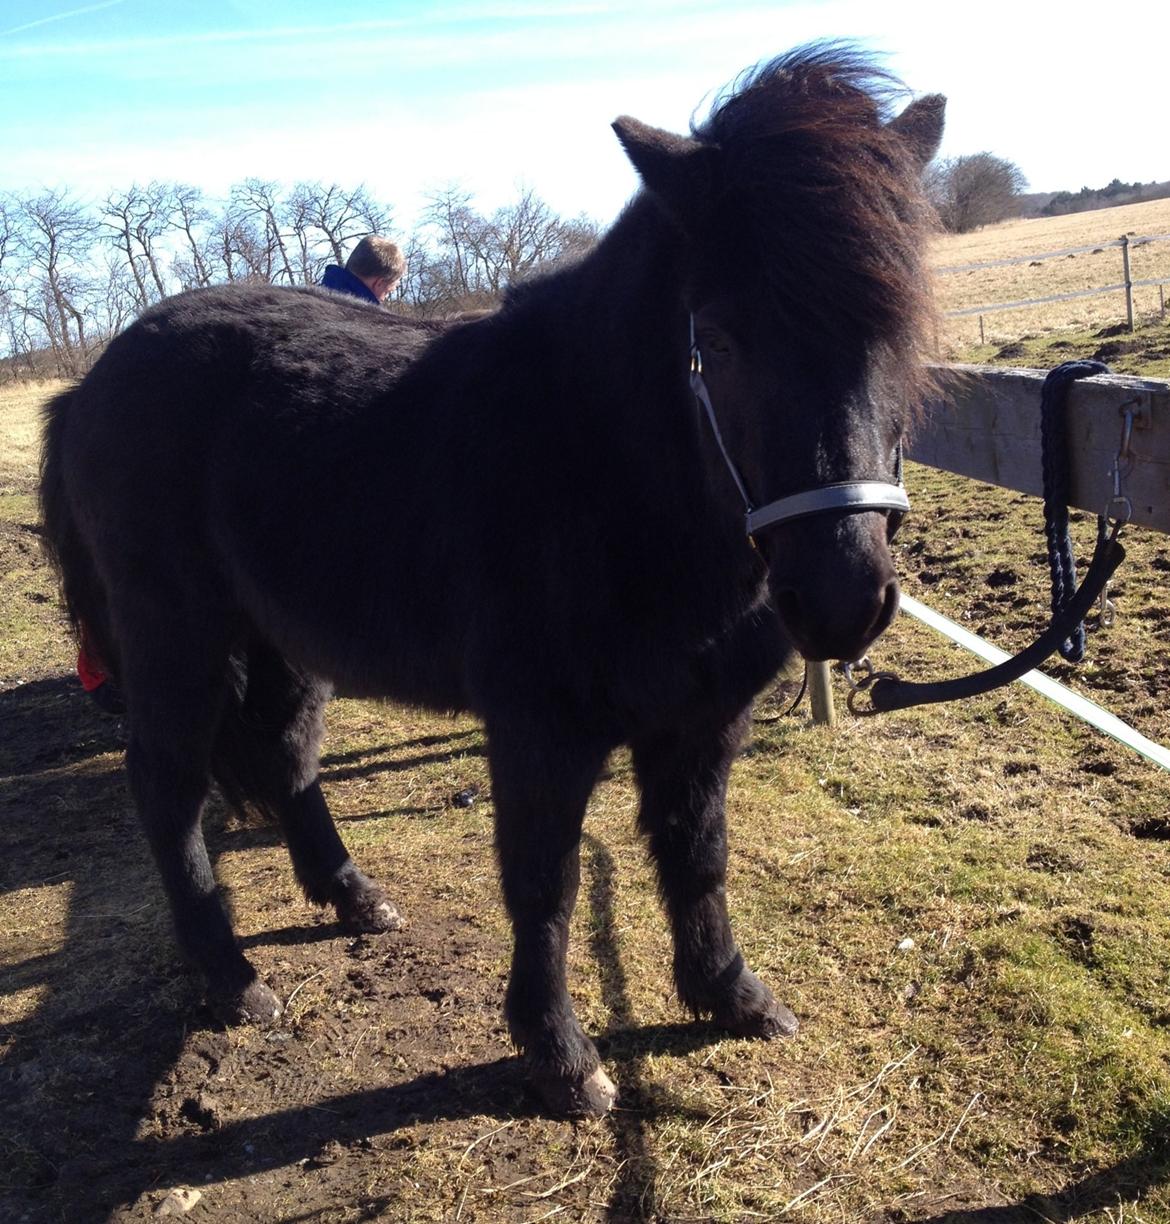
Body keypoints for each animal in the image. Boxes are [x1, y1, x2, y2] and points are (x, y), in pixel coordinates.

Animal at [38, 47, 939, 1121]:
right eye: (717, 340)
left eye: (899, 325)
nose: (842, 596)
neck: (602, 467)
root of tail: (90, 383)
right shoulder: (540, 730)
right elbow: (544, 883)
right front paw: (560, 1058)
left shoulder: (704, 721)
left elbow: (698, 856)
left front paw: (732, 995)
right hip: (178, 639)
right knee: (167, 786)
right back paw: (234, 983)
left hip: (283, 642)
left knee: (289, 759)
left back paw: (355, 899)